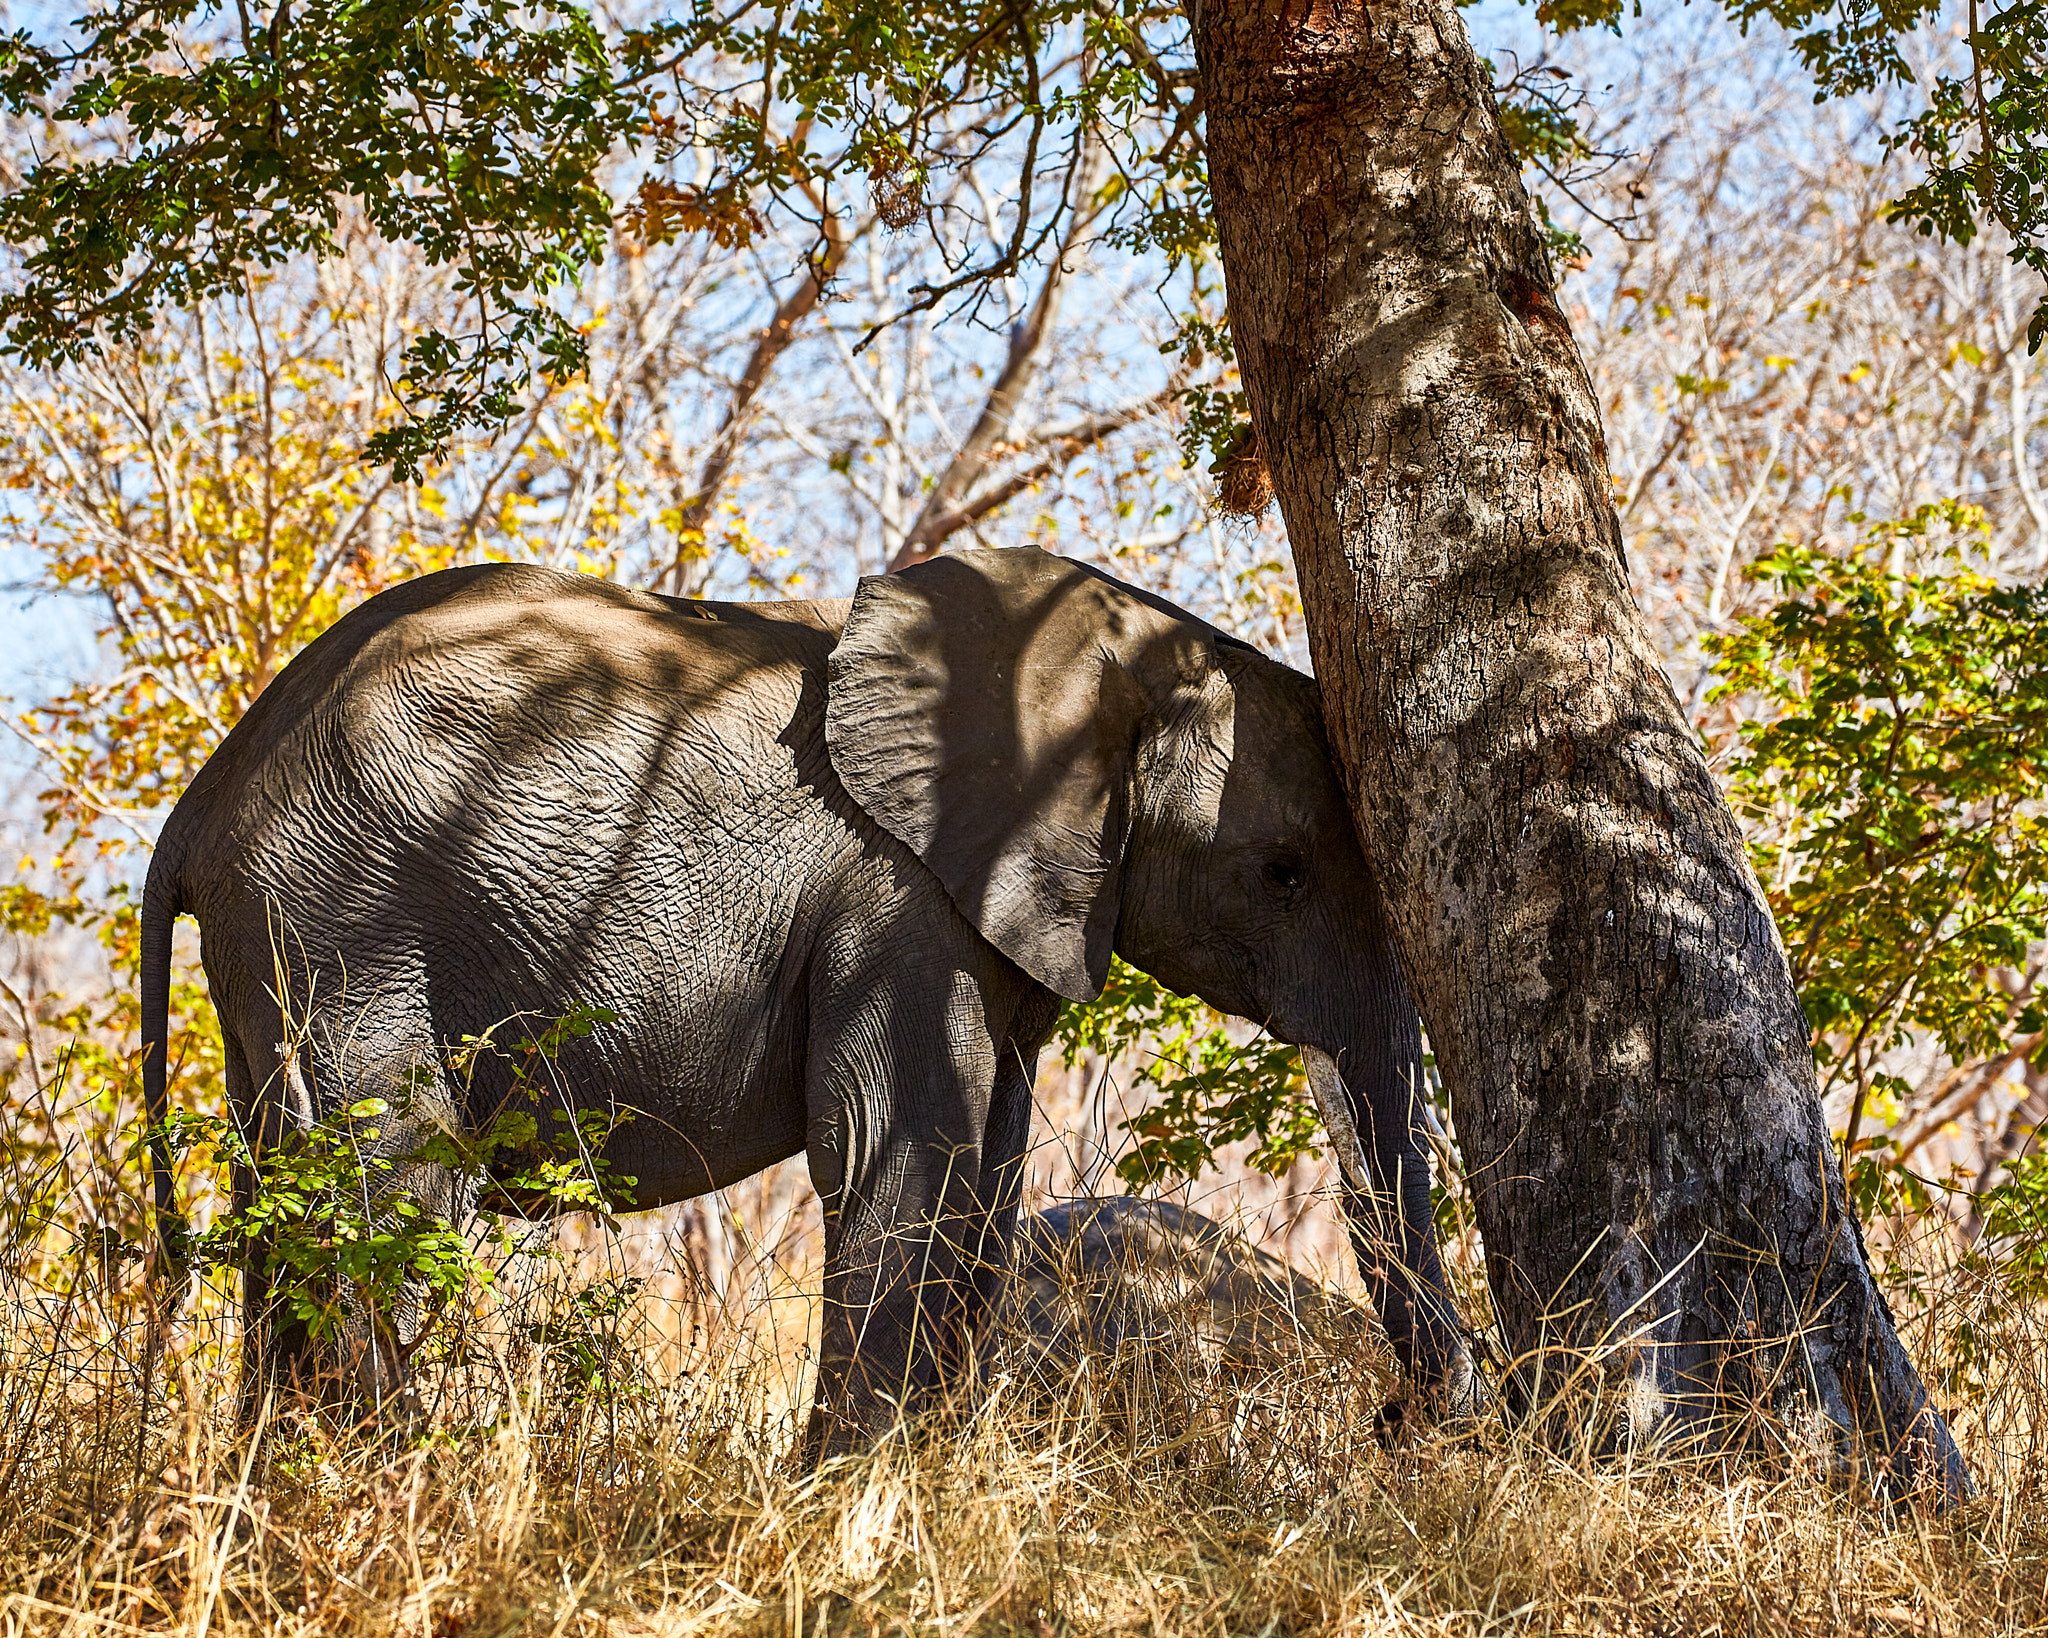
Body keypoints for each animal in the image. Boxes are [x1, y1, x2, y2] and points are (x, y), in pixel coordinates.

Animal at [138, 545, 1474, 1456]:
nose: (1395, 1423)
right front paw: (847, 1497)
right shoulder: (897, 900)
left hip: (290, 951)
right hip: (352, 924)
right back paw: (390, 1480)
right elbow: (908, 1151)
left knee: (281, 1200)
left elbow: (982, 1182)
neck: (1105, 643)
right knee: (393, 1192)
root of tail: (199, 811)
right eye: (1284, 873)